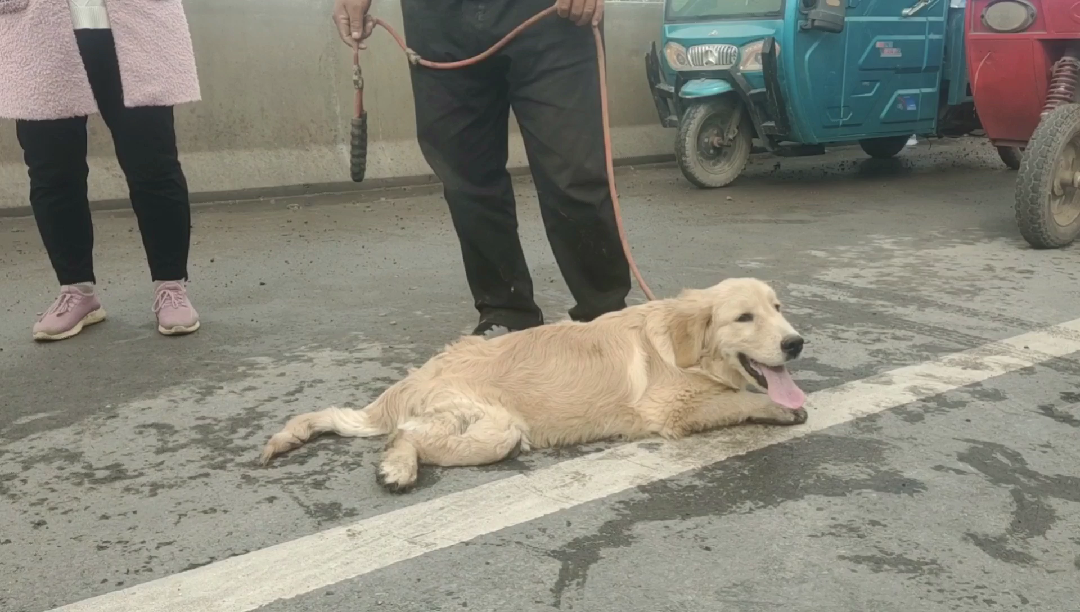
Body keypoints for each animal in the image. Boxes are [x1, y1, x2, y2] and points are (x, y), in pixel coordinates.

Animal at [257, 278, 807, 494]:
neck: (681, 342)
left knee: (402, 430)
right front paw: (781, 409)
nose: (796, 343)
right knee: (407, 433)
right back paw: (398, 467)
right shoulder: (671, 409)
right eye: (744, 317)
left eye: (778, 308)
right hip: (497, 428)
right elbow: (738, 399)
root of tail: (422, 372)